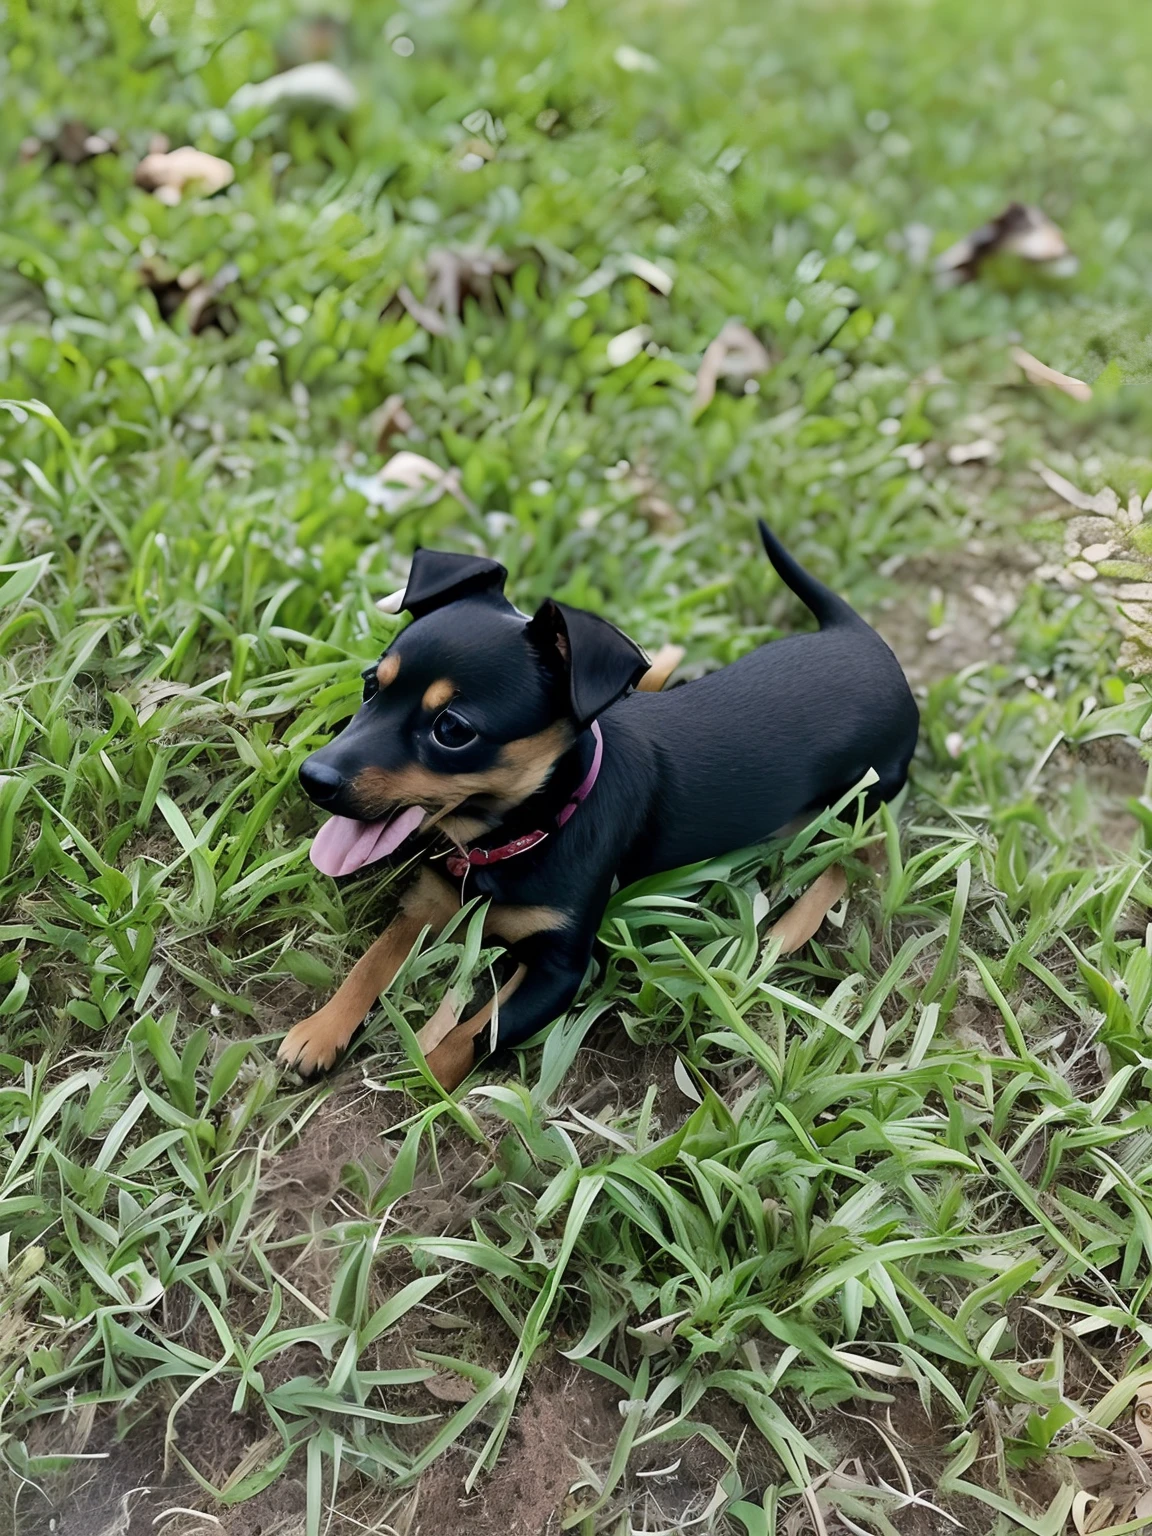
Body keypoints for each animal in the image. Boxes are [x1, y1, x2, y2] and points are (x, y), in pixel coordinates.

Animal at [279, 528, 921, 1093]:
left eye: (452, 730)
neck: (515, 835)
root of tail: (860, 636)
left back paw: (790, 924)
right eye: (371, 684)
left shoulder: (561, 969)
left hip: (862, 796)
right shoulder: (428, 904)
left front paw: (427, 1082)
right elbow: (374, 959)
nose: (312, 778)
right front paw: (319, 1032)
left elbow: (480, 1032)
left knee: (855, 858)